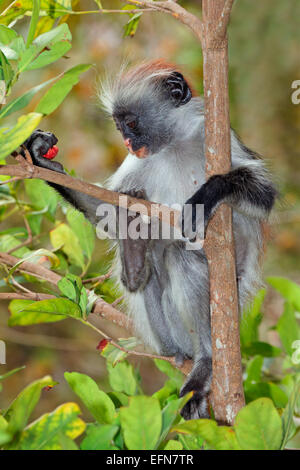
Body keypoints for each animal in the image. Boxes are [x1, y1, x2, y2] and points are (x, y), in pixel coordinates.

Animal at [21, 59, 276, 418]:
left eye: (131, 123)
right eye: (119, 127)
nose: (127, 143)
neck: (174, 144)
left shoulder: (216, 136)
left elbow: (264, 196)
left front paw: (208, 194)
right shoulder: (140, 163)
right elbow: (111, 217)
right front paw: (41, 160)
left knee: (181, 257)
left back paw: (205, 364)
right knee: (154, 255)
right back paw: (136, 263)